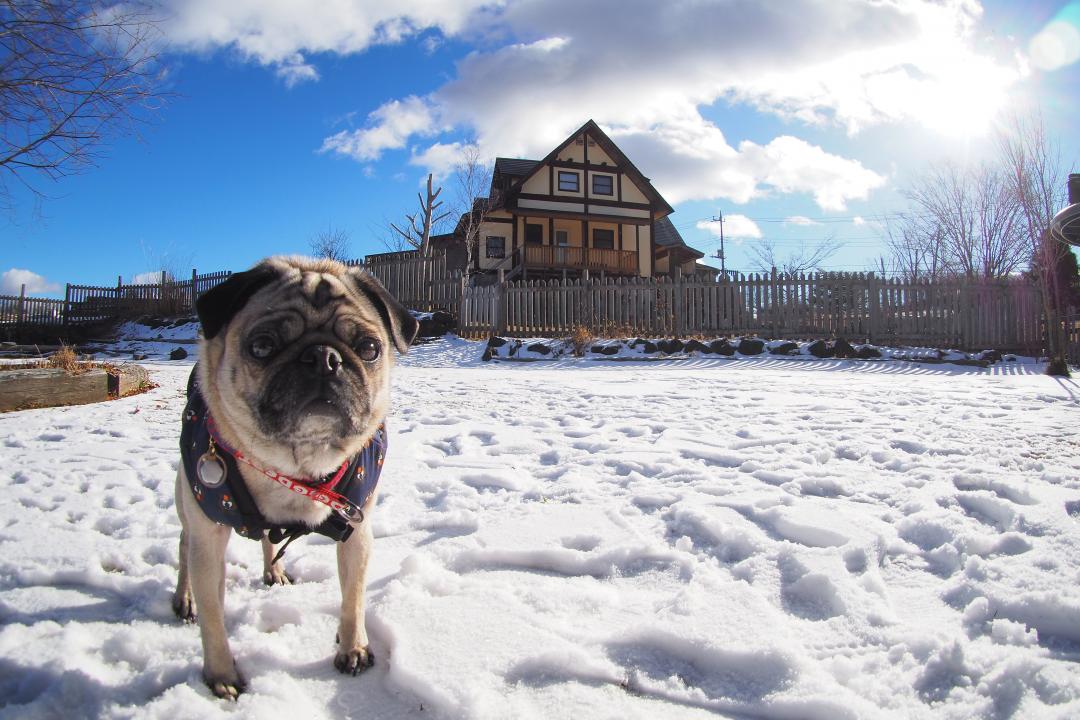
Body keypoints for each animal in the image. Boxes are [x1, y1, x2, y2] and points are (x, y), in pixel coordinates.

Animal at [171, 257, 416, 699]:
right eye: (262, 346)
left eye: (369, 349)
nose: (323, 357)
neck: (294, 466)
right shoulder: (209, 537)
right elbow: (214, 616)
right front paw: (221, 674)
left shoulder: (357, 530)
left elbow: (353, 597)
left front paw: (353, 647)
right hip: (188, 503)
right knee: (184, 546)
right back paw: (185, 599)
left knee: (269, 538)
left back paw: (274, 571)